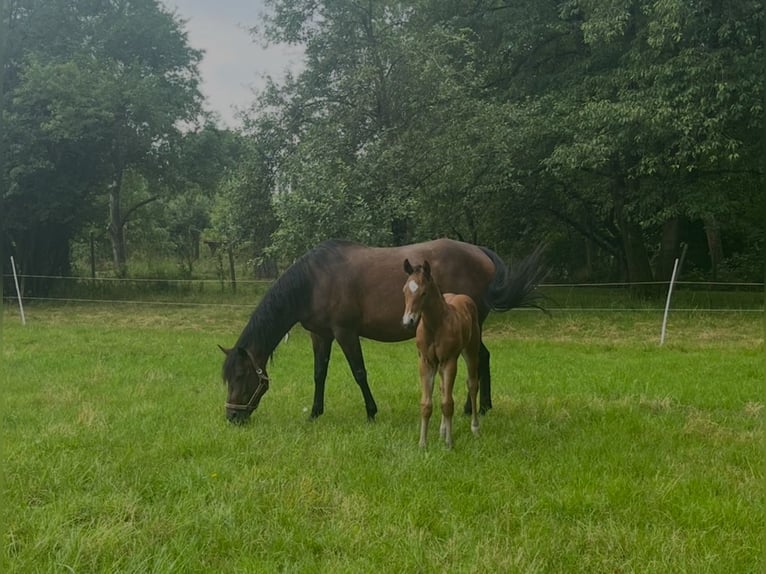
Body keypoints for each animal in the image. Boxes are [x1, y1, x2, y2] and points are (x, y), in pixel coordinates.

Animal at [220, 237, 544, 424]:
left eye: (241, 376)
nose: (232, 416)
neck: (314, 281)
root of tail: (481, 252)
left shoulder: (345, 332)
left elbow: (359, 372)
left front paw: (371, 412)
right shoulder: (321, 335)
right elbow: (319, 373)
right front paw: (314, 413)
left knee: (477, 360)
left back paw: (473, 408)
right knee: (483, 359)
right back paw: (481, 406)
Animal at [402, 260, 480, 450]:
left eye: (423, 292)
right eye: (404, 290)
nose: (408, 322)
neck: (435, 326)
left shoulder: (449, 360)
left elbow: (447, 403)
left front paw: (449, 444)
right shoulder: (426, 361)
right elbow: (426, 404)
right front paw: (422, 444)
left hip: (471, 351)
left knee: (472, 385)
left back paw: (475, 428)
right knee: (443, 388)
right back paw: (442, 430)